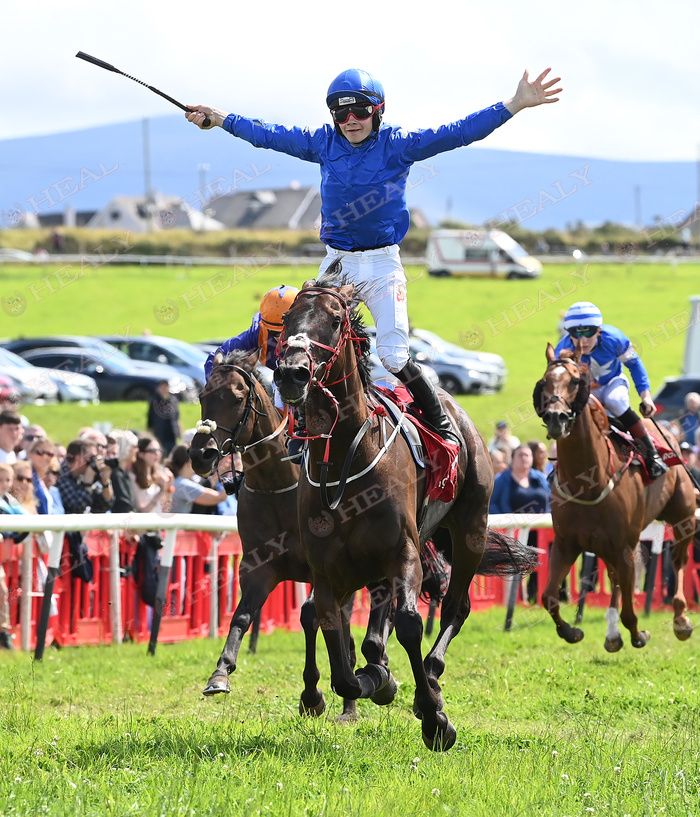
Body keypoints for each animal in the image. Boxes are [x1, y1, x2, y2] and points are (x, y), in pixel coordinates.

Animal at [274, 278, 536, 748]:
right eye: (287, 318)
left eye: (335, 320)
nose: (291, 373)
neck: (346, 459)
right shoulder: (327, 570)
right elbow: (339, 658)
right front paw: (373, 679)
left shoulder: (404, 553)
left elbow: (411, 623)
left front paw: (434, 718)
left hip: (469, 528)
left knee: (456, 607)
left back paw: (429, 675)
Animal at [536, 344, 696, 652]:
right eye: (545, 381)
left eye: (575, 381)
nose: (555, 417)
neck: (587, 482)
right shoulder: (566, 543)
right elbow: (548, 597)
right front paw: (572, 632)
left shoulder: (624, 547)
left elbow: (630, 611)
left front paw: (639, 634)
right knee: (614, 578)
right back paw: (611, 634)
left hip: (683, 515)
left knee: (679, 560)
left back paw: (681, 619)